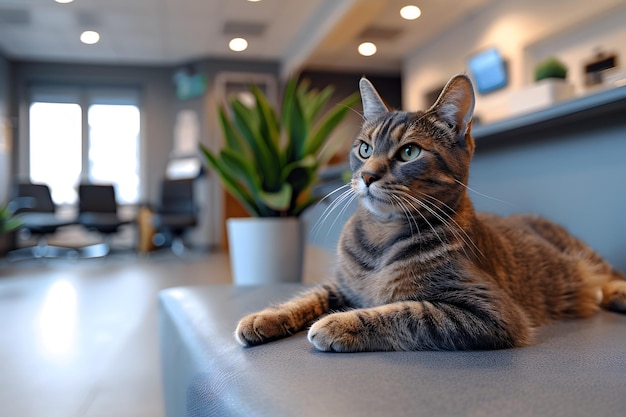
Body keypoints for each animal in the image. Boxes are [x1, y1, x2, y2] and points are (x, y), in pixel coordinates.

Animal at [234, 74, 624, 352]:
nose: (367, 175)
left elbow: (410, 312)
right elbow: (309, 296)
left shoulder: (490, 312)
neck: (381, 237)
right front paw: (267, 317)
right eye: (364, 149)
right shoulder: (342, 285)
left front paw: (339, 323)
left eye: (409, 152)